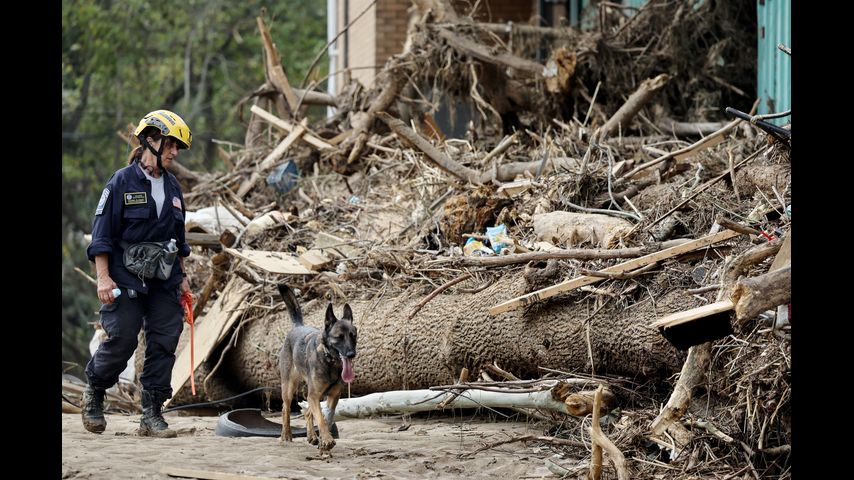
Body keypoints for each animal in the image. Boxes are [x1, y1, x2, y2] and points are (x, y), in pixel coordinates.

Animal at [280, 284, 356, 452]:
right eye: (339, 337)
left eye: (353, 335)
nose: (351, 354)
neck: (330, 361)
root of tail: (298, 326)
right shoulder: (314, 395)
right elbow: (320, 418)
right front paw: (327, 440)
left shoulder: (332, 396)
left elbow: (326, 418)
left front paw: (324, 439)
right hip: (289, 388)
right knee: (285, 409)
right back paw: (286, 435)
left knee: (308, 412)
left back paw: (312, 437)